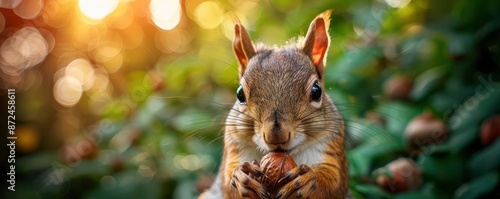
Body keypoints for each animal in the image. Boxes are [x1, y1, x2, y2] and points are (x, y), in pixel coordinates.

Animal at [199, 10, 348, 197]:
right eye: (240, 94)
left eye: (316, 91)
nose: (276, 136)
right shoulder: (234, 146)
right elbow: (228, 183)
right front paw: (240, 177)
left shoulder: (331, 147)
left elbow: (333, 183)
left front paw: (308, 180)